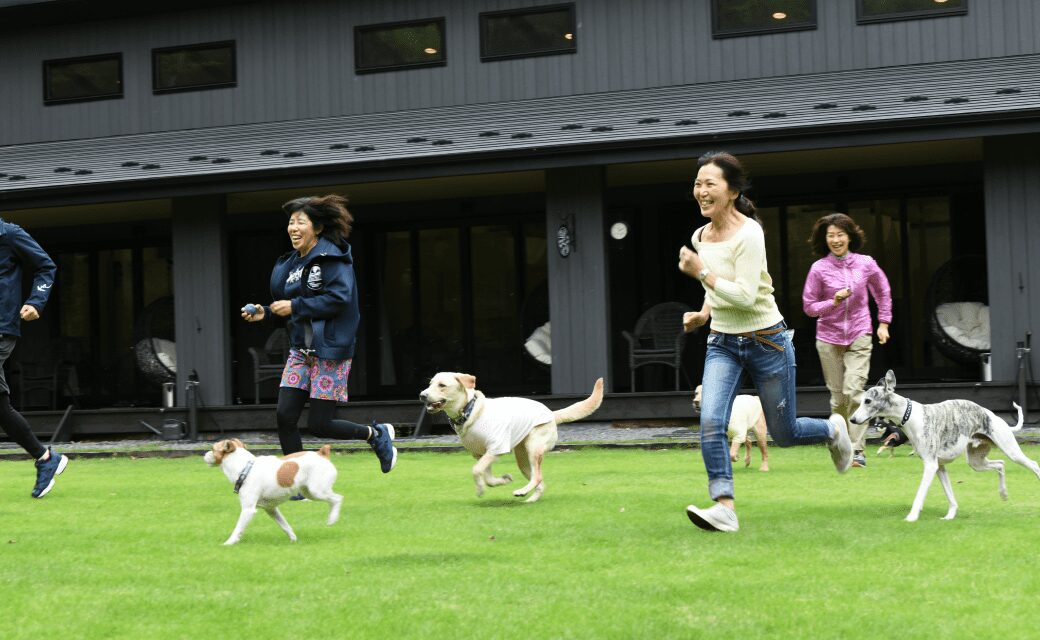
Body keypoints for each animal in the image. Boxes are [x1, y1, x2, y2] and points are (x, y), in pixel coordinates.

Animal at [204, 441, 343, 545]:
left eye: (212, 448)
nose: (205, 454)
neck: (245, 468)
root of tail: (322, 453)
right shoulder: (271, 509)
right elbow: (285, 525)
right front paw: (293, 539)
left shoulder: (248, 510)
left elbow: (238, 529)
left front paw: (229, 542)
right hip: (309, 492)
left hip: (317, 491)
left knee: (338, 499)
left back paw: (332, 519)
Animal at [420, 372, 607, 503]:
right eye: (430, 384)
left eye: (442, 385)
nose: (422, 395)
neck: (469, 410)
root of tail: (552, 414)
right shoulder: (481, 454)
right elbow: (487, 476)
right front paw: (503, 480)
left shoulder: (496, 448)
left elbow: (476, 471)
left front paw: (480, 490)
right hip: (522, 459)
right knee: (540, 482)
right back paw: (529, 499)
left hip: (534, 447)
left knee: (538, 476)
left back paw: (521, 491)